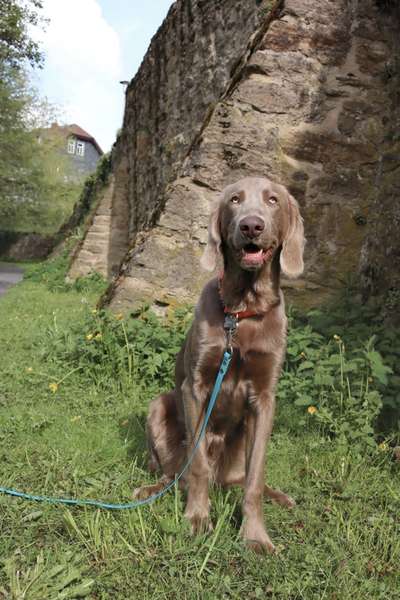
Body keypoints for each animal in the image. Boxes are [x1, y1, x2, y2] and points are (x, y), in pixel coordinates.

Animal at [133, 176, 304, 552]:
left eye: (273, 200)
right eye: (234, 200)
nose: (251, 225)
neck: (243, 310)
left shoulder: (265, 397)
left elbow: (255, 477)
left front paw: (255, 535)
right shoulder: (195, 386)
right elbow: (196, 465)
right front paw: (197, 518)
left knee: (240, 480)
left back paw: (280, 496)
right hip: (159, 406)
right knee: (174, 473)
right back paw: (149, 489)